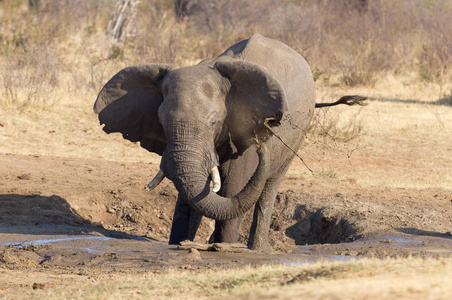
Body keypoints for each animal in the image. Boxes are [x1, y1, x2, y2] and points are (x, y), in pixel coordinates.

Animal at [93, 33, 366, 253]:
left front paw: (222, 248)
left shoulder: (244, 128)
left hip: (298, 133)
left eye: (214, 122)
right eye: (162, 121)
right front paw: (179, 244)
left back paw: (258, 249)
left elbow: (234, 186)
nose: (265, 136)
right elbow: (191, 196)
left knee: (270, 186)